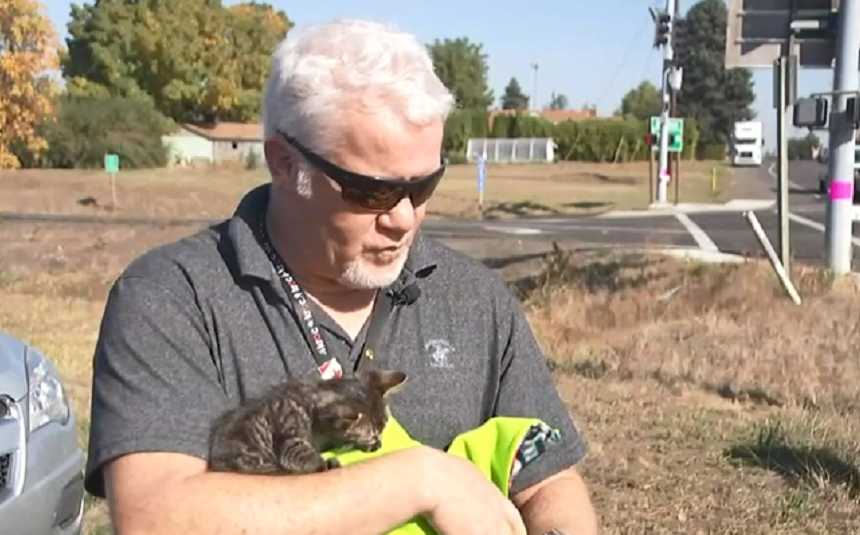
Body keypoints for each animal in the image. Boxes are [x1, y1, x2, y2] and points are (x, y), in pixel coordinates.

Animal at [210, 370, 408, 476]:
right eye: (373, 433)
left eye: (383, 428)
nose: (377, 439)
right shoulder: (290, 441)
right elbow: (304, 457)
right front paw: (325, 464)